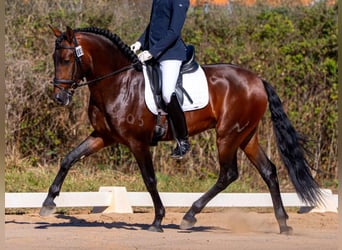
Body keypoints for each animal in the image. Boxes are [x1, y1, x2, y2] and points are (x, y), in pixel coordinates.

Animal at [40, 26, 324, 233]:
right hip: (246, 136)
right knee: (268, 171)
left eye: (67, 59)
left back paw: (189, 215)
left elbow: (150, 179)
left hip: (228, 136)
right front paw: (48, 203)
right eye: (54, 58)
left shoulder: (137, 142)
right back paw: (283, 224)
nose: (60, 98)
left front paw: (157, 220)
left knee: (228, 174)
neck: (118, 82)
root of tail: (257, 80)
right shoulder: (104, 136)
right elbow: (69, 159)